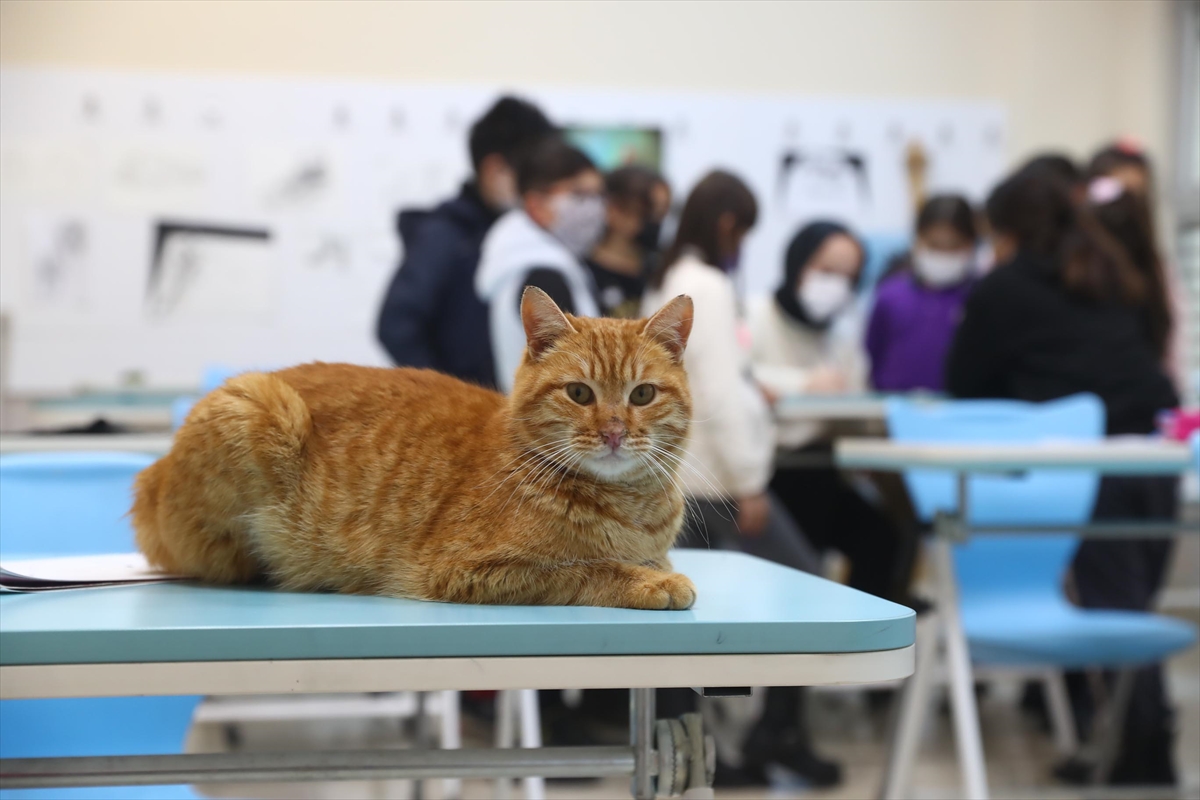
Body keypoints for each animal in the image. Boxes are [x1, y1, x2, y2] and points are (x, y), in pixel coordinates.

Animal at [132, 291, 700, 609]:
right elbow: (584, 570)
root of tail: (149, 477)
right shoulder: (466, 571)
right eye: (579, 393)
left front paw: (654, 569)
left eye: (642, 395)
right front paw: (651, 582)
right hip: (257, 405)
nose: (613, 432)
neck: (629, 508)